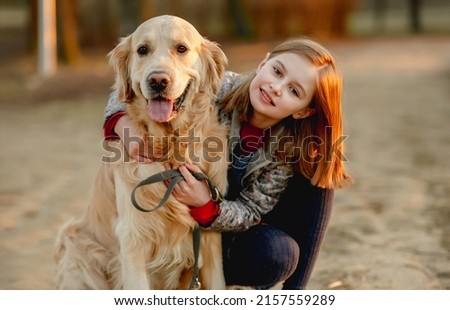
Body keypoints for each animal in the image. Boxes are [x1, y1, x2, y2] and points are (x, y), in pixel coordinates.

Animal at [54, 15, 229, 290]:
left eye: (181, 48)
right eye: (142, 50)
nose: (157, 81)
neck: (170, 148)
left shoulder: (210, 240)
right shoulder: (132, 240)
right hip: (75, 245)